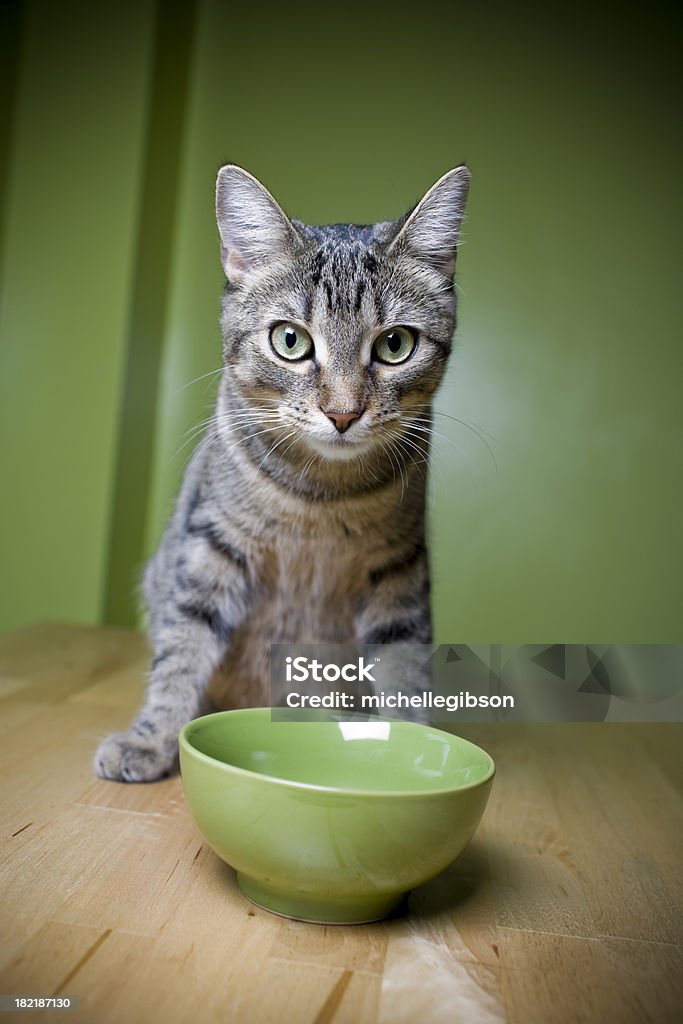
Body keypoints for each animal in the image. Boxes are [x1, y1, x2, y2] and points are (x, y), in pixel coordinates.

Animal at [94, 163, 471, 778]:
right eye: (290, 340)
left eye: (395, 345)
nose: (343, 412)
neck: (322, 496)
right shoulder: (211, 545)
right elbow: (182, 648)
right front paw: (151, 741)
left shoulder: (399, 570)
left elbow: (404, 664)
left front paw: (413, 746)